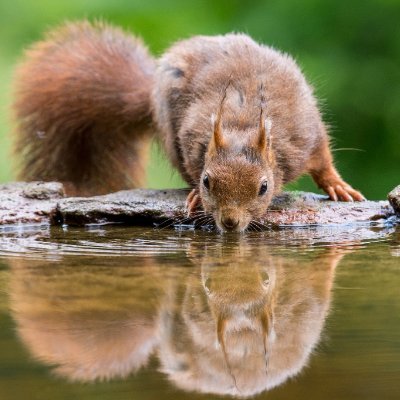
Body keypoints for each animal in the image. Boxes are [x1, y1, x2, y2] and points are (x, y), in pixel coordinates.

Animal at [12, 21, 364, 233]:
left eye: (264, 187)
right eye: (207, 181)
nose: (230, 223)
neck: (242, 123)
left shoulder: (303, 136)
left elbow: (322, 158)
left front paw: (337, 185)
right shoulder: (191, 138)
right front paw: (195, 194)